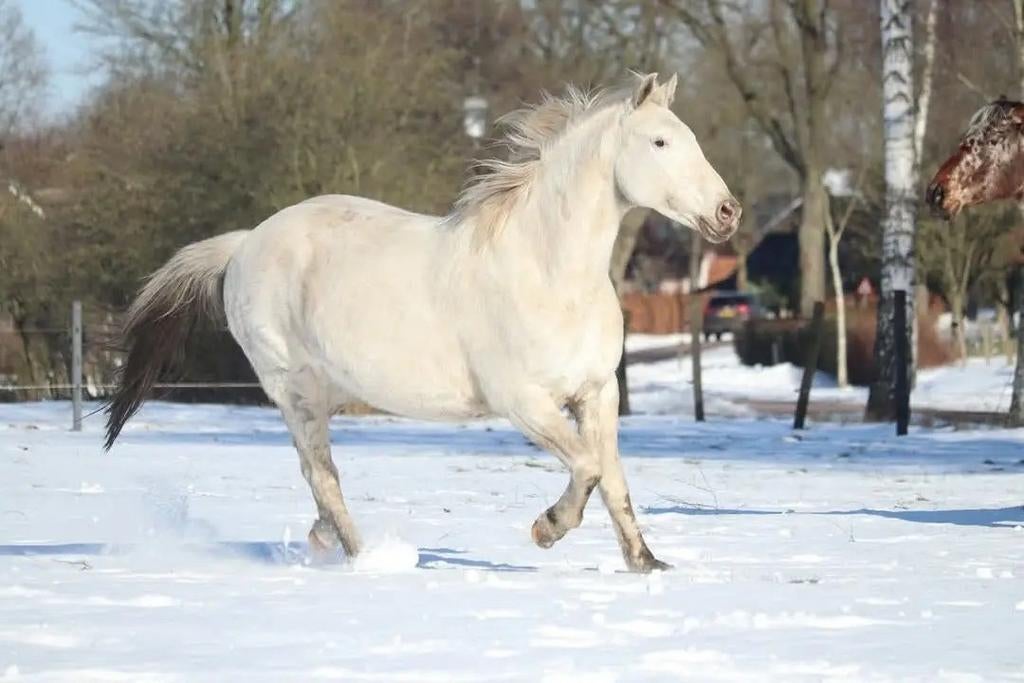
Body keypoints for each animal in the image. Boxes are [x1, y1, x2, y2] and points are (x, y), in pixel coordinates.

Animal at [103, 73, 741, 573]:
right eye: (660, 141)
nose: (727, 212)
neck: (548, 271)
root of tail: (242, 245)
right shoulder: (522, 401)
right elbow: (585, 466)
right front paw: (546, 529)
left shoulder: (598, 392)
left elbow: (612, 479)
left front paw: (646, 563)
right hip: (294, 390)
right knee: (322, 475)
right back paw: (364, 559)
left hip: (329, 392)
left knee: (318, 481)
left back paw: (324, 541)